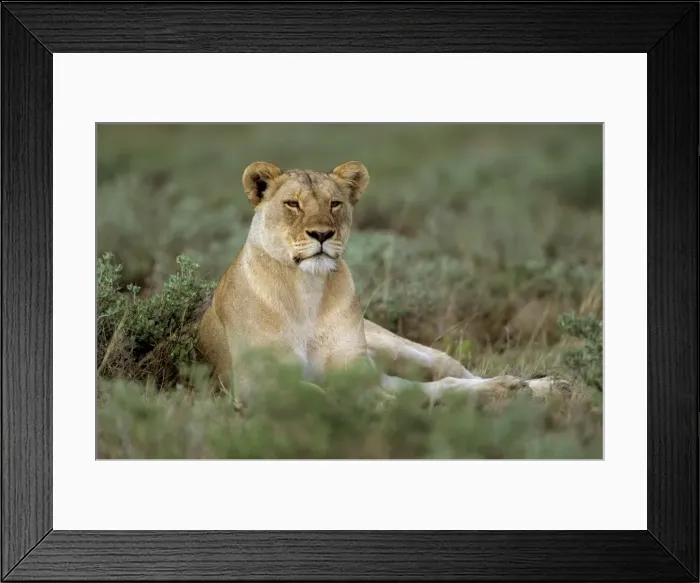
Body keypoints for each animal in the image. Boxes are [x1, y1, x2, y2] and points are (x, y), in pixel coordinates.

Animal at [196, 161, 569, 406]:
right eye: (292, 204)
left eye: (335, 203)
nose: (322, 234)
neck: (307, 290)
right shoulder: (257, 385)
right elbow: (320, 395)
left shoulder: (355, 371)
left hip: (399, 348)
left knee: (450, 373)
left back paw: (538, 386)